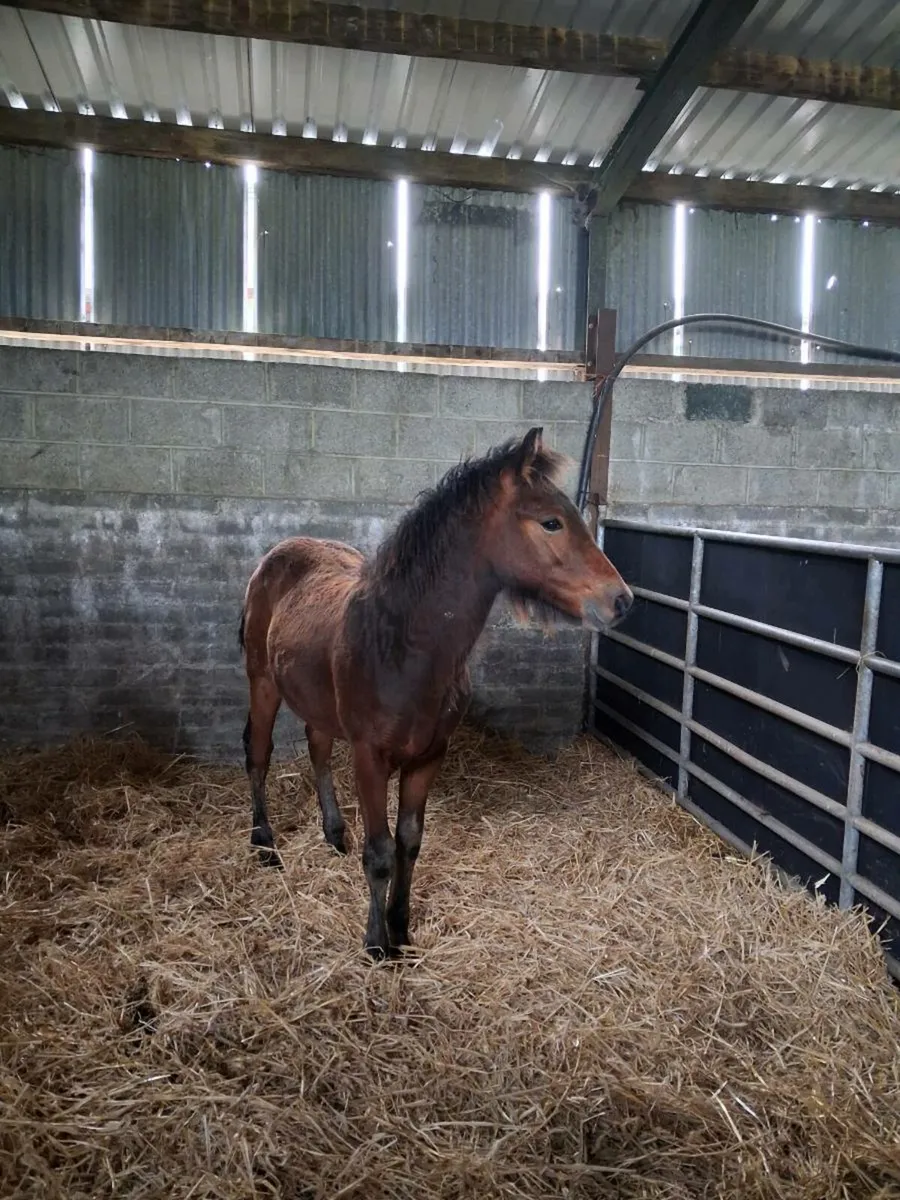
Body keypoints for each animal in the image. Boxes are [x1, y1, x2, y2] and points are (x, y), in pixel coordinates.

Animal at [238, 426, 632, 959]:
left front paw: (401, 929)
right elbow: (380, 852)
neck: (404, 646)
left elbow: (409, 841)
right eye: (551, 522)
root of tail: (274, 558)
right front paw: (376, 943)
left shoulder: (428, 757)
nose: (621, 600)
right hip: (262, 683)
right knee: (258, 753)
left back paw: (334, 833)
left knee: (317, 748)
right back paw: (264, 843)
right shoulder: (370, 758)